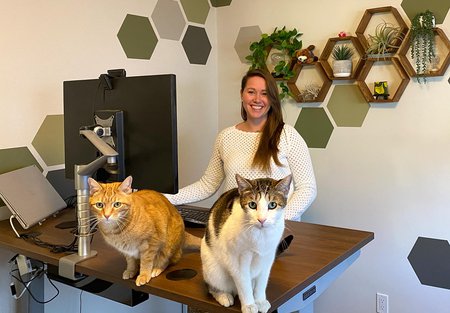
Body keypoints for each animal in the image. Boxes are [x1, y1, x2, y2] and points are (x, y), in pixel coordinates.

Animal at [201, 173, 292, 312]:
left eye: (272, 205)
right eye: (252, 205)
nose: (262, 219)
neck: (260, 236)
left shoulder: (268, 257)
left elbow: (262, 281)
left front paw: (260, 301)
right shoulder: (238, 259)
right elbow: (244, 283)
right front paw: (249, 305)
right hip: (213, 269)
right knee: (213, 286)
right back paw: (223, 295)